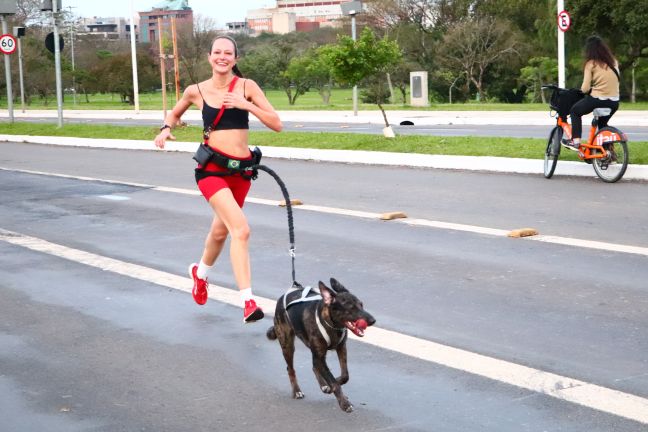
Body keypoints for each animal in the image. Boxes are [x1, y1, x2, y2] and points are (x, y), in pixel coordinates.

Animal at [266, 278, 374, 414]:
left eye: (361, 305)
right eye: (351, 307)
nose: (373, 320)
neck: (332, 324)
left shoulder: (341, 348)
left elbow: (344, 376)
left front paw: (333, 383)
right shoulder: (320, 356)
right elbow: (333, 381)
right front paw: (344, 403)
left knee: (314, 366)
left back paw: (323, 385)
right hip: (288, 345)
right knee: (291, 369)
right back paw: (296, 391)